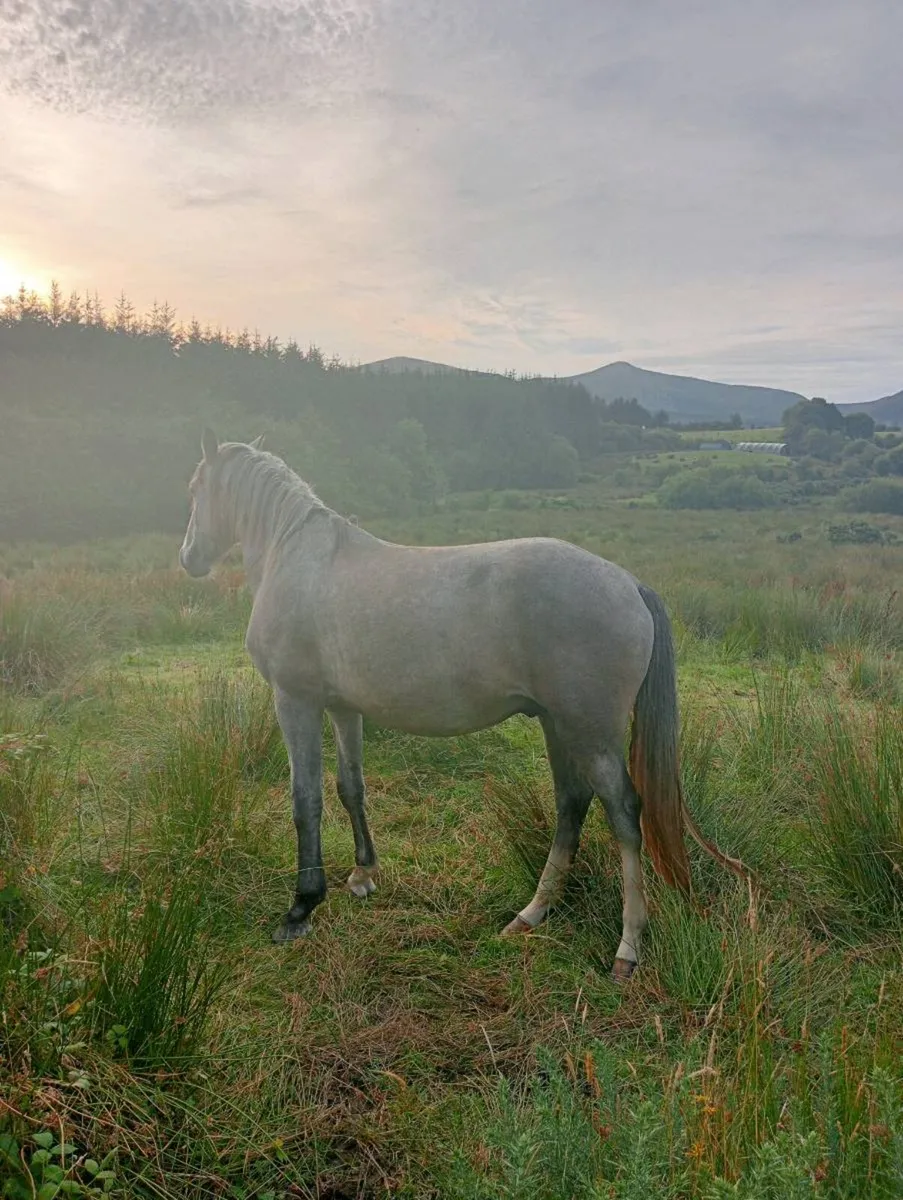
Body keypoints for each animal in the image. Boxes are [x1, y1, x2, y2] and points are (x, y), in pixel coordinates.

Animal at [179, 429, 746, 979]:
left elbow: (306, 801)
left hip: (591, 732)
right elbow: (350, 787)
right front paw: (364, 873)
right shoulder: (343, 708)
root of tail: (629, 583)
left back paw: (627, 947)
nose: (188, 557)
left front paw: (301, 909)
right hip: (559, 726)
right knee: (571, 805)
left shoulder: (295, 701)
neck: (297, 557)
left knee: (624, 814)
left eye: (194, 488)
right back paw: (532, 914)